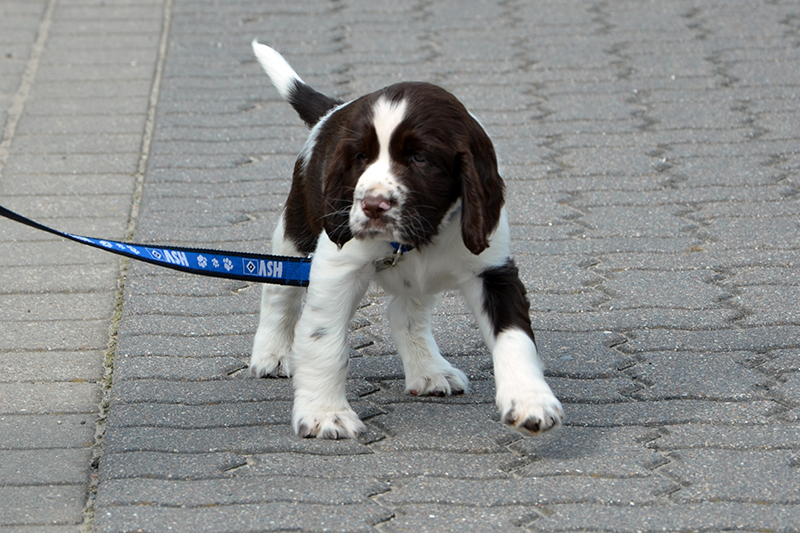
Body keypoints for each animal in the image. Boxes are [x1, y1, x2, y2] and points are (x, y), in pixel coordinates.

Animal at [250, 40, 564, 440]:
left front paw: (531, 401)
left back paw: (429, 370)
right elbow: (324, 341)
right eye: (360, 157)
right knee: (279, 291)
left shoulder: (493, 270)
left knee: (406, 313)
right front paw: (325, 413)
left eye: (418, 158)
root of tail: (333, 111)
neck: (420, 235)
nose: (372, 205)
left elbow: (515, 337)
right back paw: (271, 354)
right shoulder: (337, 268)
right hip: (298, 225)